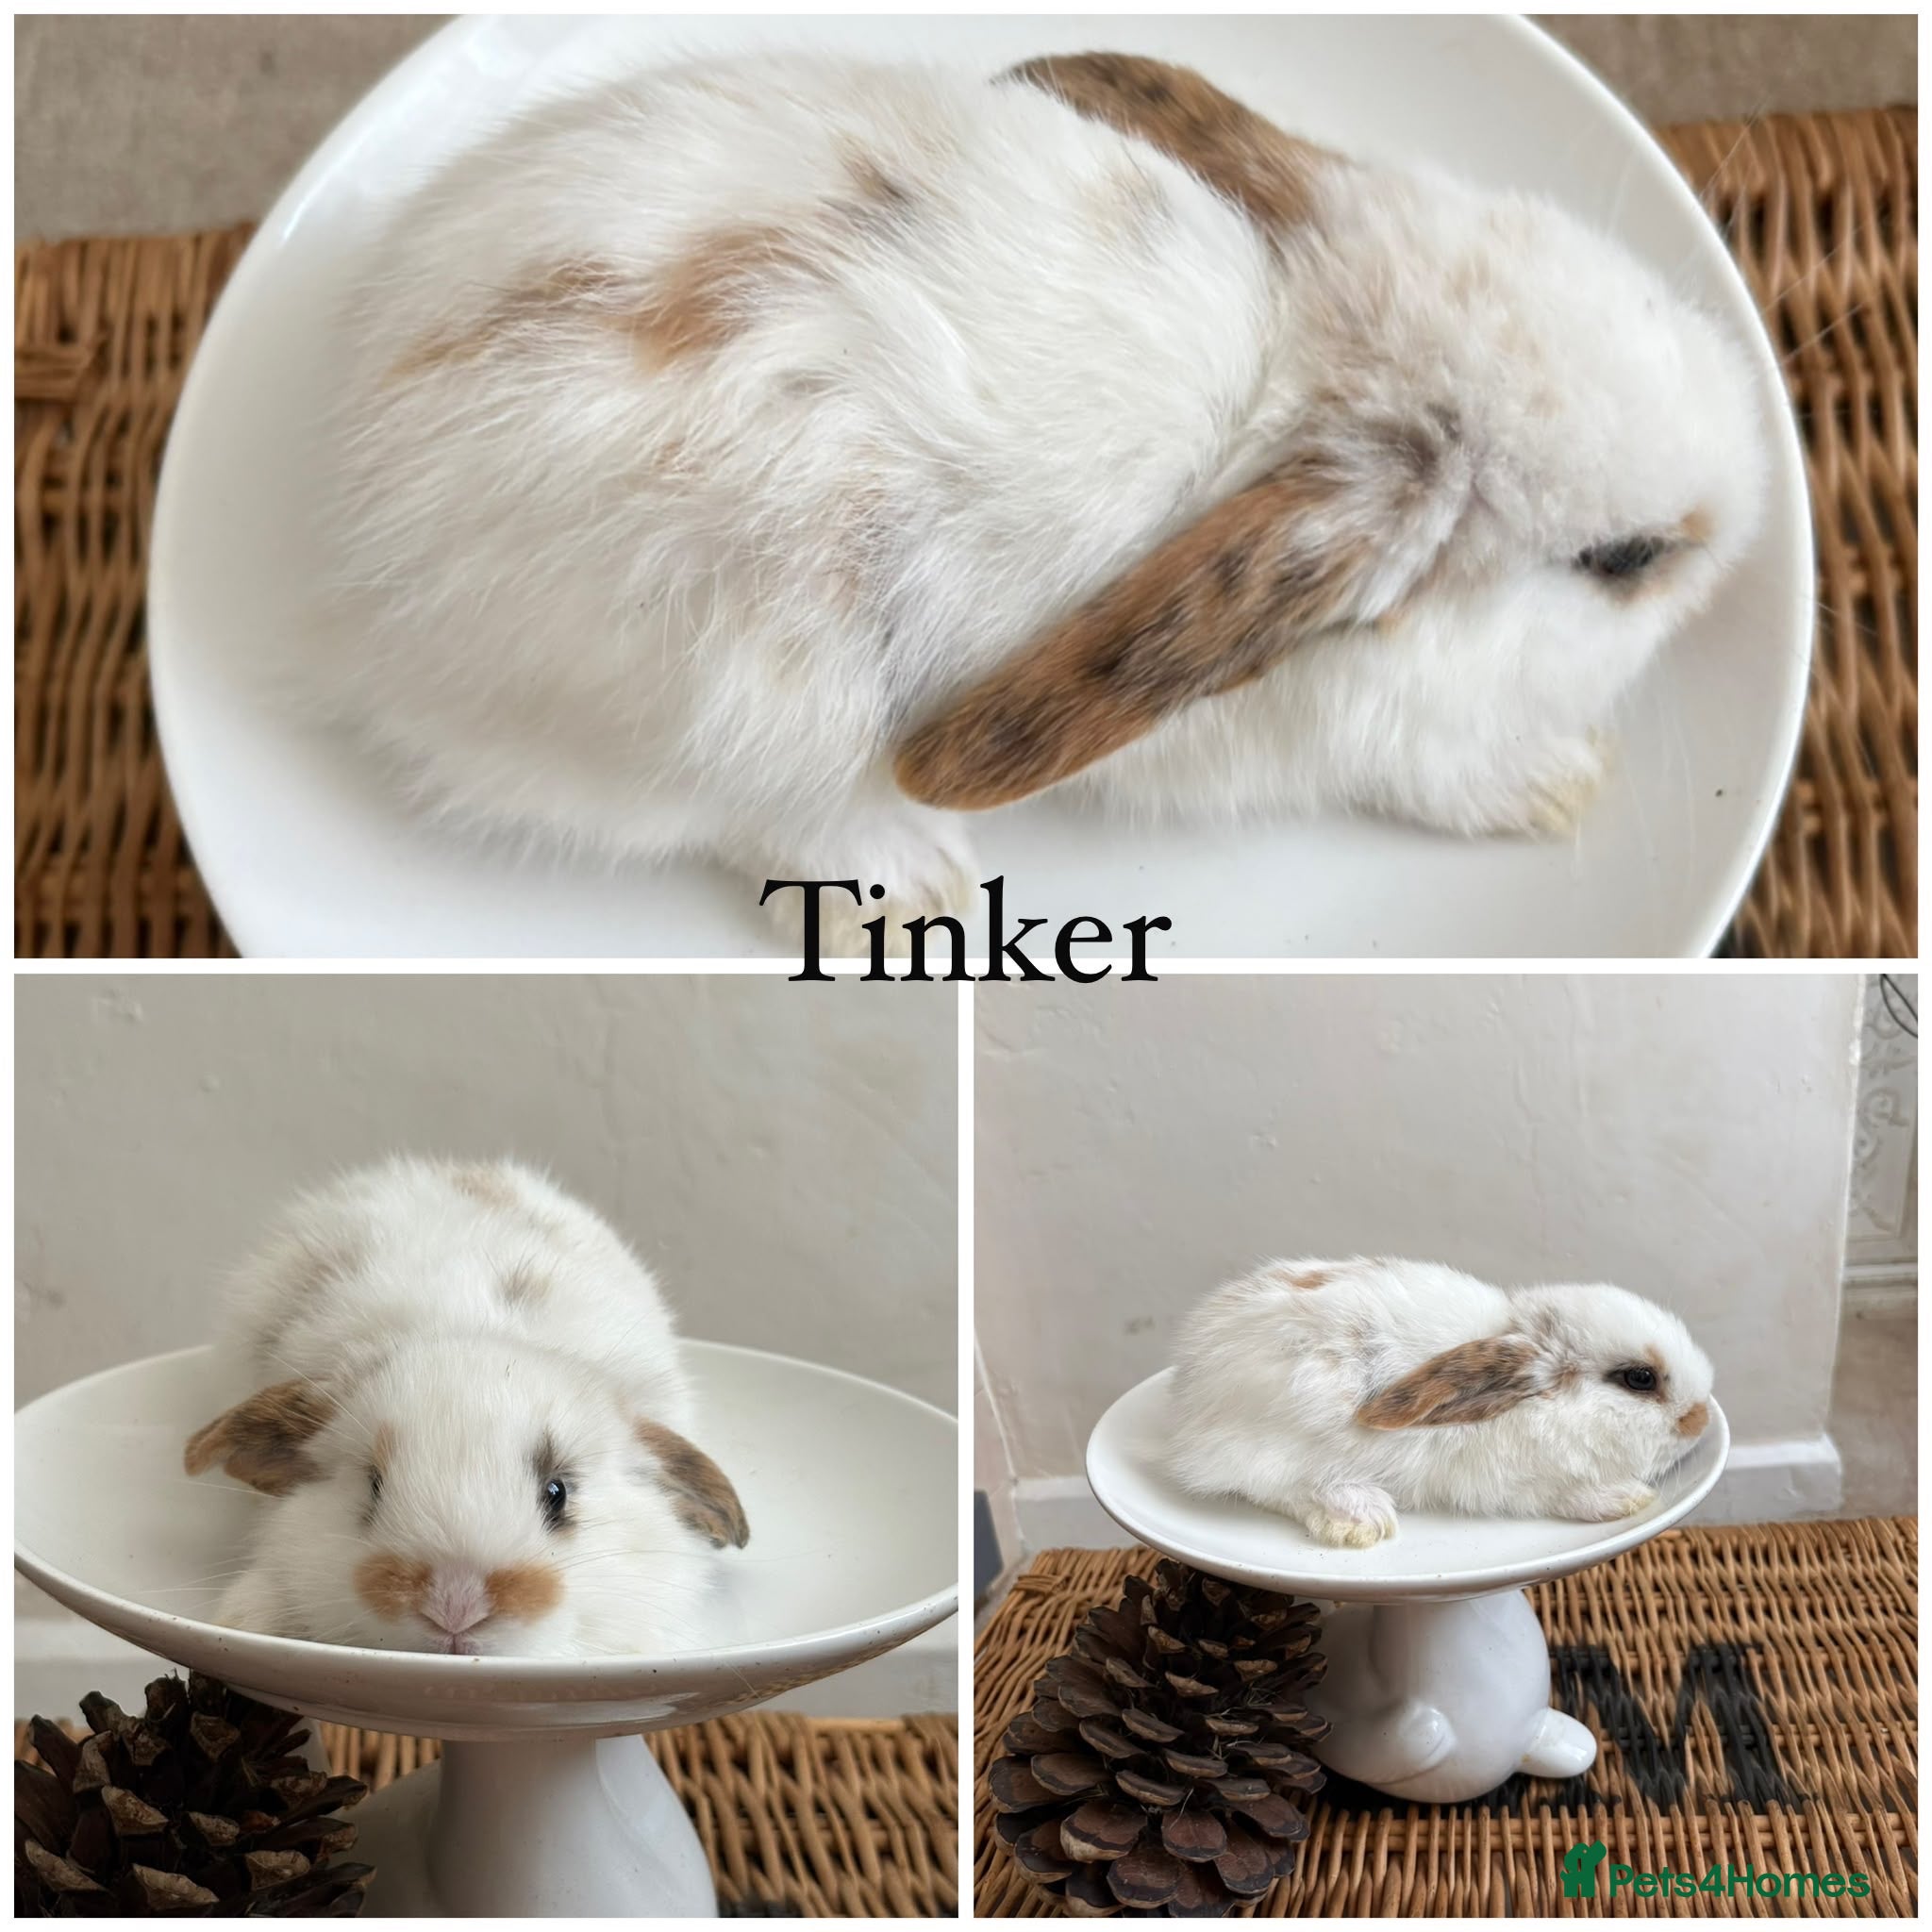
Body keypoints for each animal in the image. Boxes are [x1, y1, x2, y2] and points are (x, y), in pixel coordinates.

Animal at [318, 51, 1766, 951]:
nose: (1750, 512)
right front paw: (1564, 781)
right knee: (758, 822)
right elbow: (1437, 764)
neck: (1290, 372)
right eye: (1622, 558)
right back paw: (914, 888)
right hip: (739, 706)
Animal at [1167, 1256, 1714, 1547]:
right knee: (1271, 1487)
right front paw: (1624, 1497)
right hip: (1280, 1436)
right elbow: (1562, 1494)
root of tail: (1190, 1386)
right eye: (1640, 1378)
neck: (1536, 1410)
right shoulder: (1512, 1484)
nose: (1701, 1419)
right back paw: (1360, 1516)